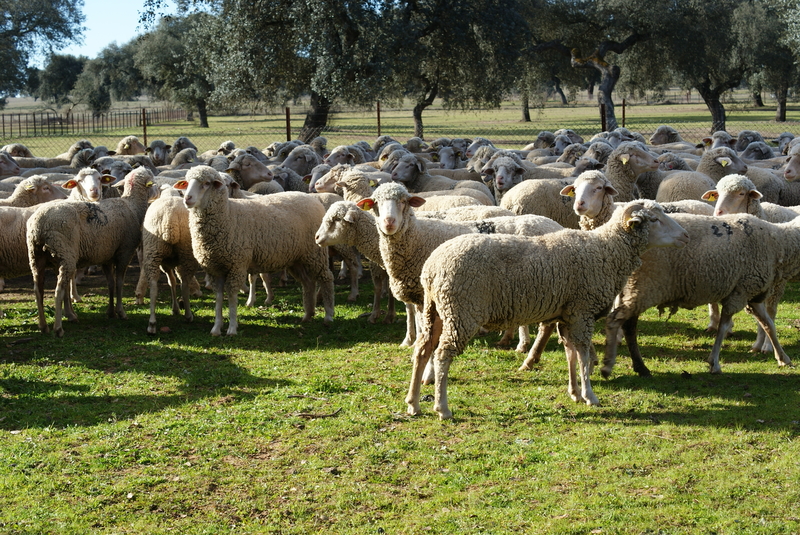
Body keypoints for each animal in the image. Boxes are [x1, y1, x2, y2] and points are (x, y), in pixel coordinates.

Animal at [27, 168, 155, 338]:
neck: (132, 206)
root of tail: (39, 224)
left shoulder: (106, 255)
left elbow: (110, 283)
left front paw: (110, 312)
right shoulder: (125, 252)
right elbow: (119, 282)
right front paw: (121, 312)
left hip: (36, 257)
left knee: (38, 290)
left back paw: (43, 326)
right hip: (65, 254)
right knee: (58, 290)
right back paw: (58, 328)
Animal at [177, 165, 336, 338]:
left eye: (206, 183)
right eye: (186, 183)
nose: (187, 199)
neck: (228, 215)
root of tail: (313, 199)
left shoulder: (237, 265)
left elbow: (232, 296)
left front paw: (232, 328)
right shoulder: (215, 268)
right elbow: (219, 297)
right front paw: (216, 328)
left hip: (315, 253)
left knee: (326, 278)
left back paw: (328, 316)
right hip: (297, 258)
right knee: (308, 283)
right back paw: (308, 315)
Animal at [410, 200, 692, 418]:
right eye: (654, 220)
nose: (685, 236)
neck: (607, 251)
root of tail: (432, 267)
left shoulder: (567, 314)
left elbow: (570, 353)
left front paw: (575, 393)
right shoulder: (582, 311)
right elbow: (584, 354)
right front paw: (590, 395)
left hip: (435, 310)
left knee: (422, 350)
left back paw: (413, 403)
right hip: (462, 311)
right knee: (442, 355)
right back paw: (442, 407)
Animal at [608, 211, 800, 378]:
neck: (779, 242)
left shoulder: (752, 295)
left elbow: (769, 325)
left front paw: (783, 358)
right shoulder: (740, 292)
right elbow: (723, 328)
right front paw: (714, 363)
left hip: (631, 288)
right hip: (644, 286)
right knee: (626, 323)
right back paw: (637, 366)